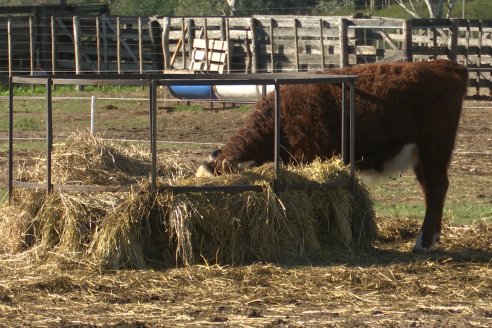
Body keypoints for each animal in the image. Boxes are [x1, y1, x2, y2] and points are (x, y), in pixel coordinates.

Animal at [197, 59, 468, 251]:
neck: (280, 117)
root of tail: (446, 65)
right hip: (422, 157)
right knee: (431, 190)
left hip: (434, 149)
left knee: (436, 188)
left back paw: (423, 242)